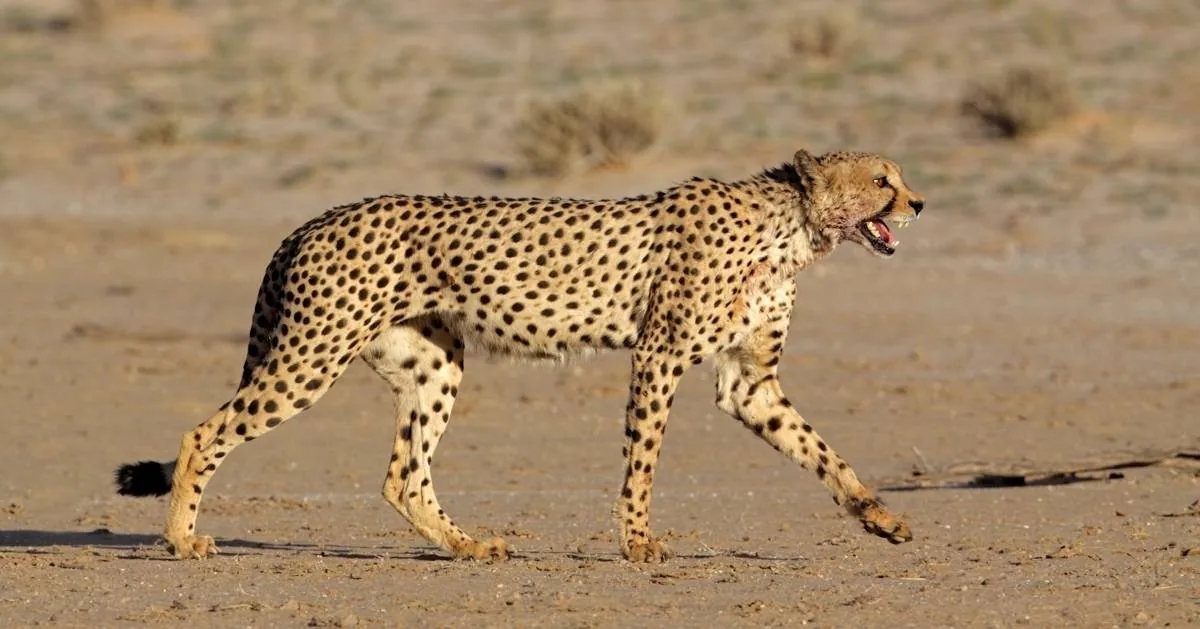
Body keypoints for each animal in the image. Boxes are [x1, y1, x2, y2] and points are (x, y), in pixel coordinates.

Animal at [115, 148, 925, 563]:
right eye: (881, 179)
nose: (919, 204)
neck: (793, 225)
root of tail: (317, 217)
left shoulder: (749, 382)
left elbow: (821, 451)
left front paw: (880, 516)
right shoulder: (659, 355)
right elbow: (643, 461)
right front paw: (638, 541)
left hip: (434, 364)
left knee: (403, 476)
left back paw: (468, 546)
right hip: (310, 357)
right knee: (204, 432)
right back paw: (182, 539)